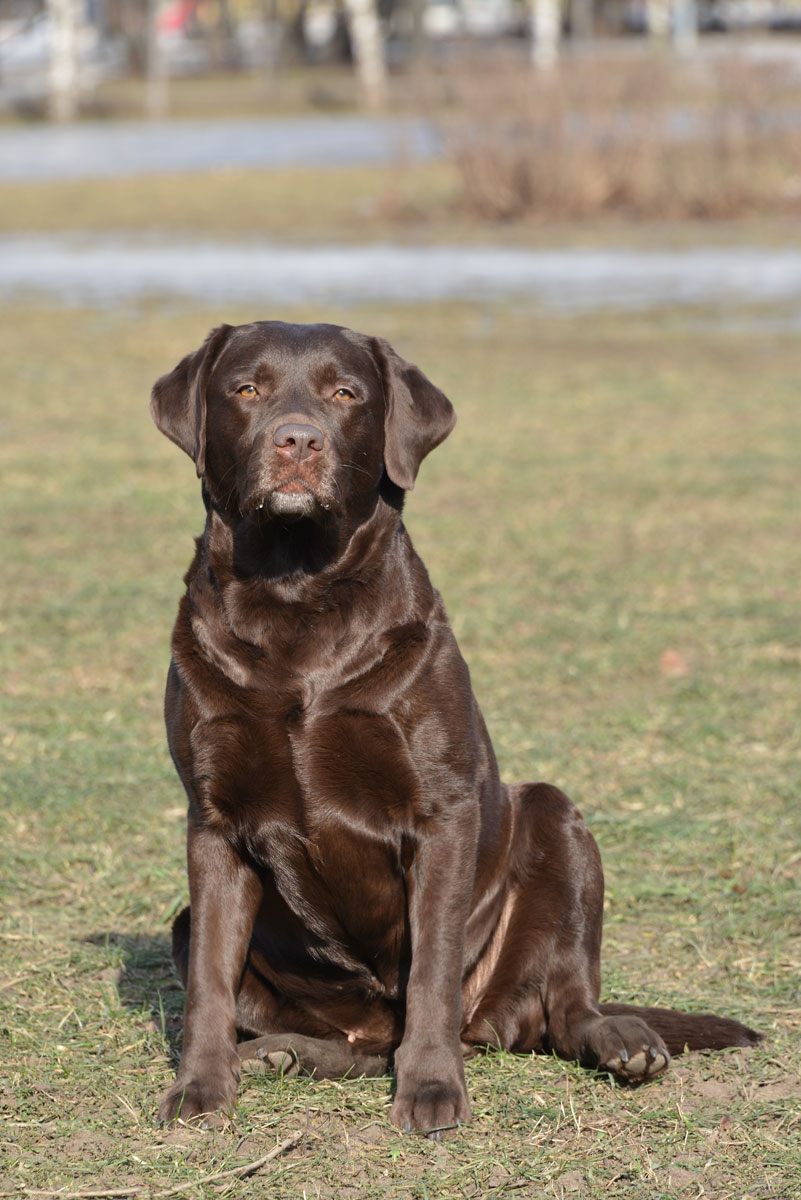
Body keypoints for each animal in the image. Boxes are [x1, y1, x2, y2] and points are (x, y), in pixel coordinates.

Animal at [149, 321, 757, 1132]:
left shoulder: (441, 811)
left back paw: (620, 1039)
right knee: (362, 1042)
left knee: (562, 1004)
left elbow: (433, 969)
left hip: (555, 818)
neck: (297, 599)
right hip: (195, 925)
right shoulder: (214, 822)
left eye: (346, 394)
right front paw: (200, 1088)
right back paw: (287, 1052)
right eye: (246, 388)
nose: (297, 440)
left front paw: (433, 1088)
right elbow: (212, 980)